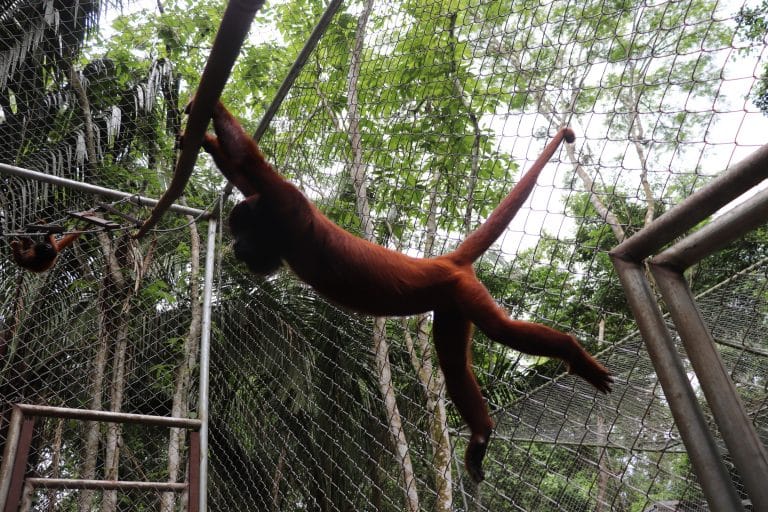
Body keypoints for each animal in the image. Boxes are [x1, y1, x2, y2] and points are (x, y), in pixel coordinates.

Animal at [196, 101, 612, 482]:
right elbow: (244, 174)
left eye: (243, 232)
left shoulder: (290, 203)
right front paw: (203, 138)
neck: (282, 231)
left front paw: (210, 110)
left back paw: (573, 353)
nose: (235, 247)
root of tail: (446, 260)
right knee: (454, 365)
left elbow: (254, 165)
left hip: (465, 289)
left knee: (501, 331)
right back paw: (481, 434)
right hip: (452, 306)